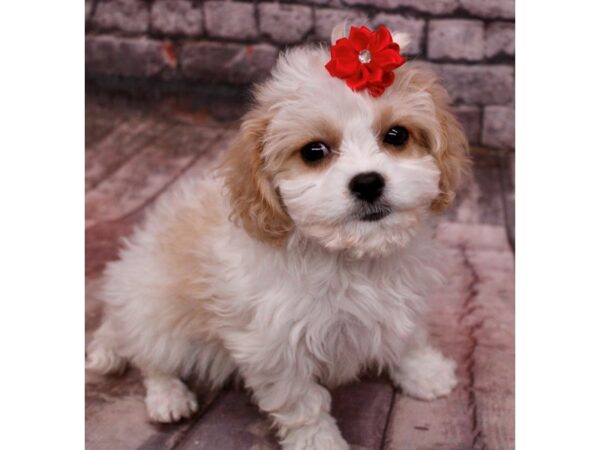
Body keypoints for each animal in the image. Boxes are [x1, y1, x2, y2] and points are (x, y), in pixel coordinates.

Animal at [85, 24, 468, 450]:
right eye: (314, 151)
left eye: (396, 135)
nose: (368, 182)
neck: (350, 256)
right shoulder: (275, 346)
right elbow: (303, 403)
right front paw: (321, 443)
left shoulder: (402, 294)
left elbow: (408, 335)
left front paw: (425, 372)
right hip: (155, 314)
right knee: (150, 359)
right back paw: (168, 397)